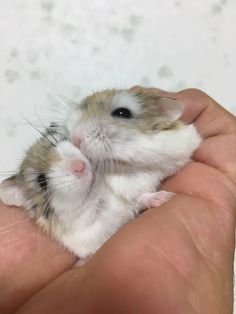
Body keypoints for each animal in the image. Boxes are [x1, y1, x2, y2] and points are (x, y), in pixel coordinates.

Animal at [0, 86, 201, 260]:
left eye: (62, 140)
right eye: (41, 181)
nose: (79, 165)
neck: (98, 197)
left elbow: (141, 197)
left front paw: (165, 197)